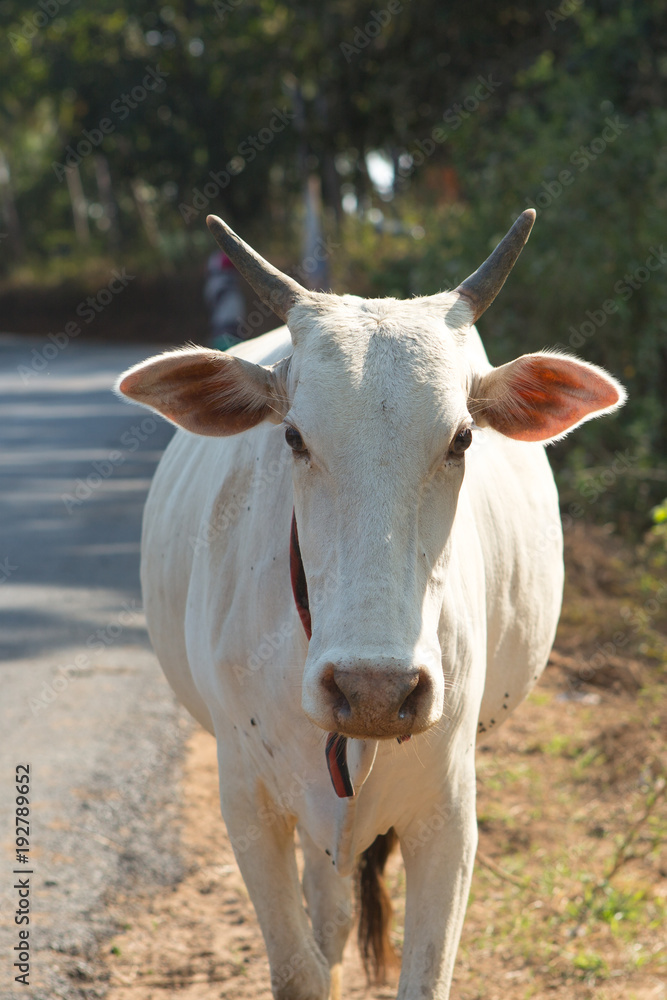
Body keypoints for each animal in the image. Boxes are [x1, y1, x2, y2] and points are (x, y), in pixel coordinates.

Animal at [116, 207, 628, 996]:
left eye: (462, 438)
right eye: (293, 435)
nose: (375, 690)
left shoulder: (448, 813)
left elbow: (425, 972)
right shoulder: (248, 802)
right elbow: (300, 967)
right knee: (327, 919)